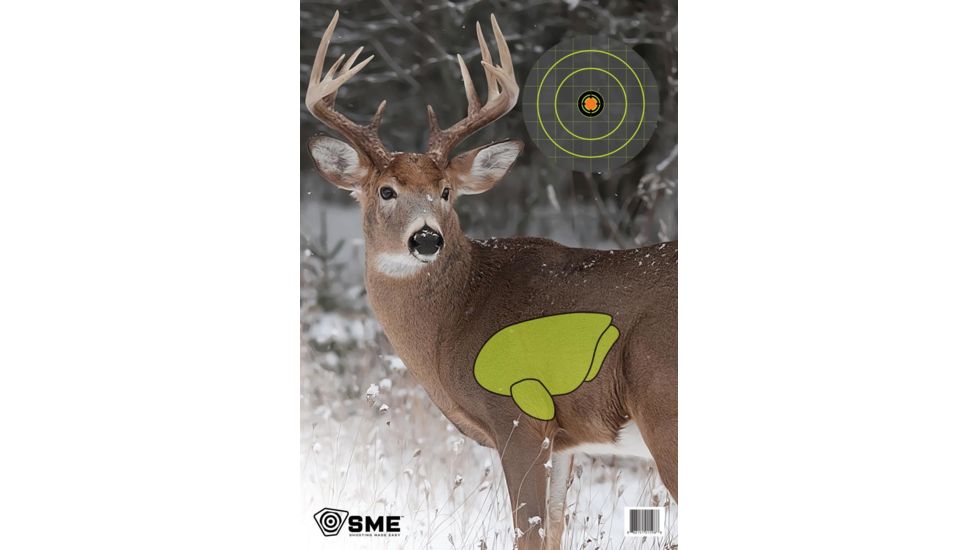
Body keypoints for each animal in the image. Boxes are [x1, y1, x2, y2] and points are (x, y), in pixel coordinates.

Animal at [305, 12, 677, 549]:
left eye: (445, 191)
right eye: (386, 190)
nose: (426, 239)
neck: (457, 318)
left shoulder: (518, 416)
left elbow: (529, 531)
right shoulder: (564, 439)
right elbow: (555, 528)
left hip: (664, 406)